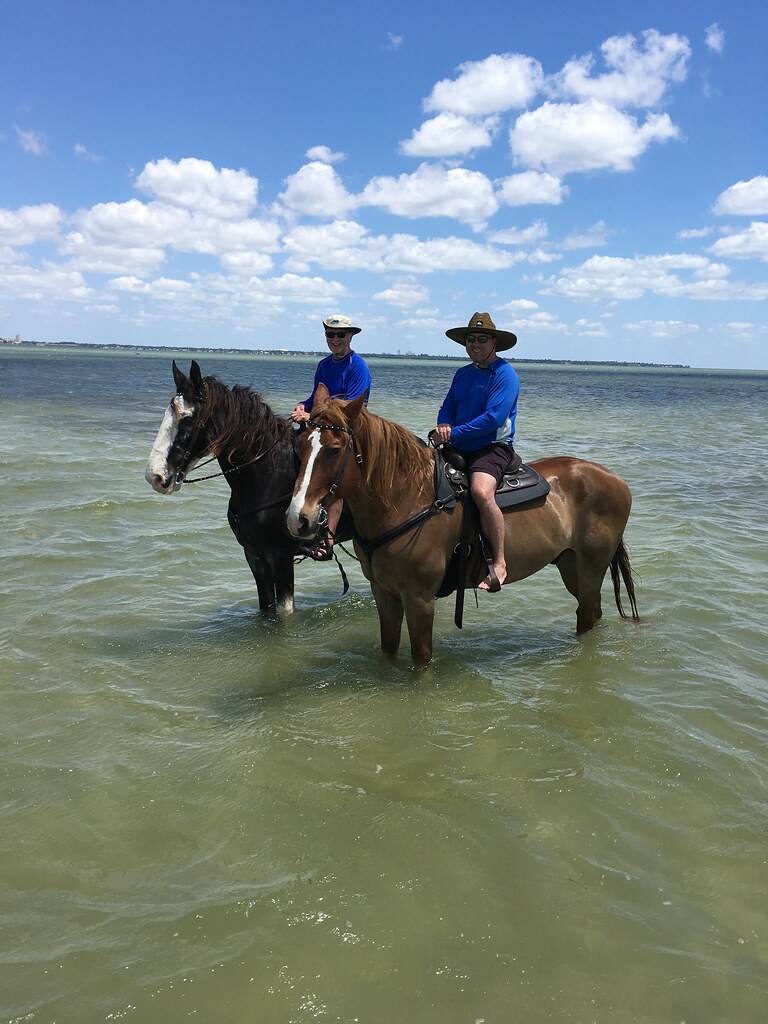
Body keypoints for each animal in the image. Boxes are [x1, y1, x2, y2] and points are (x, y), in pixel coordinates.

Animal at [286, 383, 639, 667]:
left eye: (334, 450)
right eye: (299, 446)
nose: (297, 518)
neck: (408, 498)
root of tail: (616, 479)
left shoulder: (419, 599)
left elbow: (421, 660)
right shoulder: (384, 594)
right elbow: (388, 649)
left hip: (592, 566)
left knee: (586, 615)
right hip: (570, 565)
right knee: (592, 612)